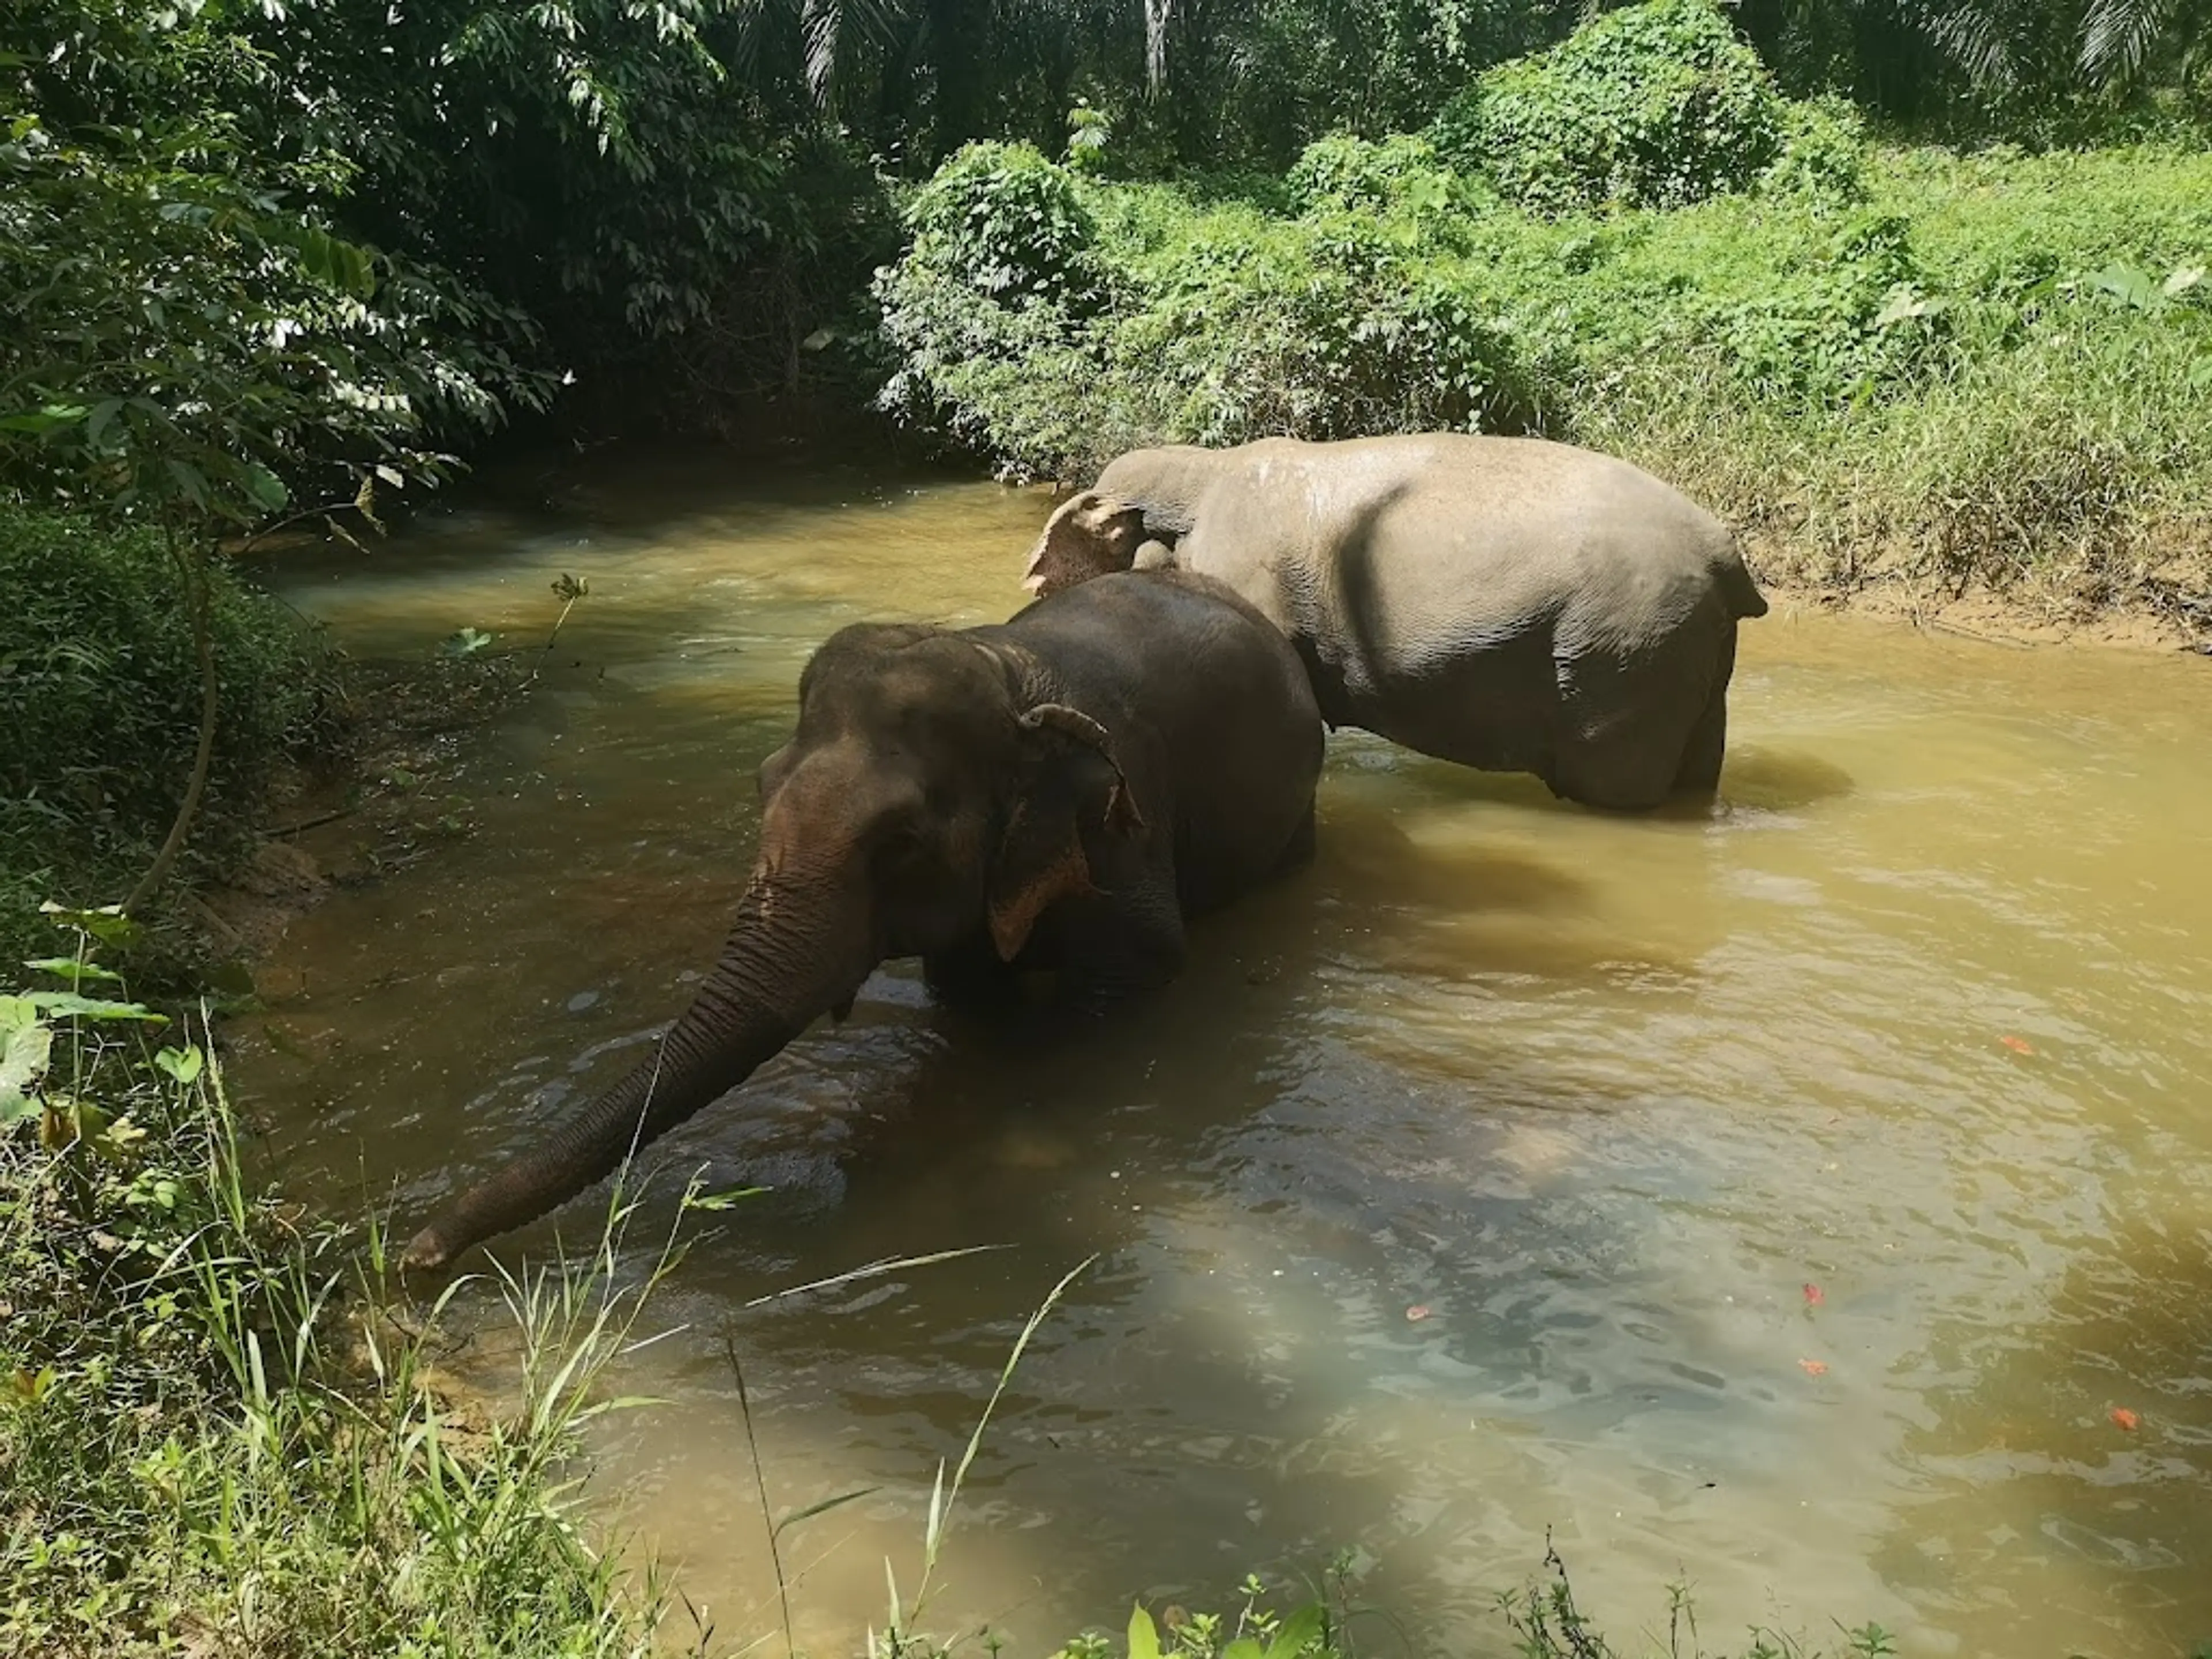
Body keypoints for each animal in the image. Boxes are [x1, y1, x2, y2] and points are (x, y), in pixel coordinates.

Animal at [400, 570, 1318, 1274]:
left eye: (900, 840)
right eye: (761, 785)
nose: (415, 1253)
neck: (1007, 673)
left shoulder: (1121, 837)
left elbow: (1130, 980)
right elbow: (964, 993)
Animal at [1026, 435, 1770, 814]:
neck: (1207, 468)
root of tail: (1727, 558)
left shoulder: (1249, 578)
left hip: (1624, 651)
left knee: (1614, 782)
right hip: (1684, 652)